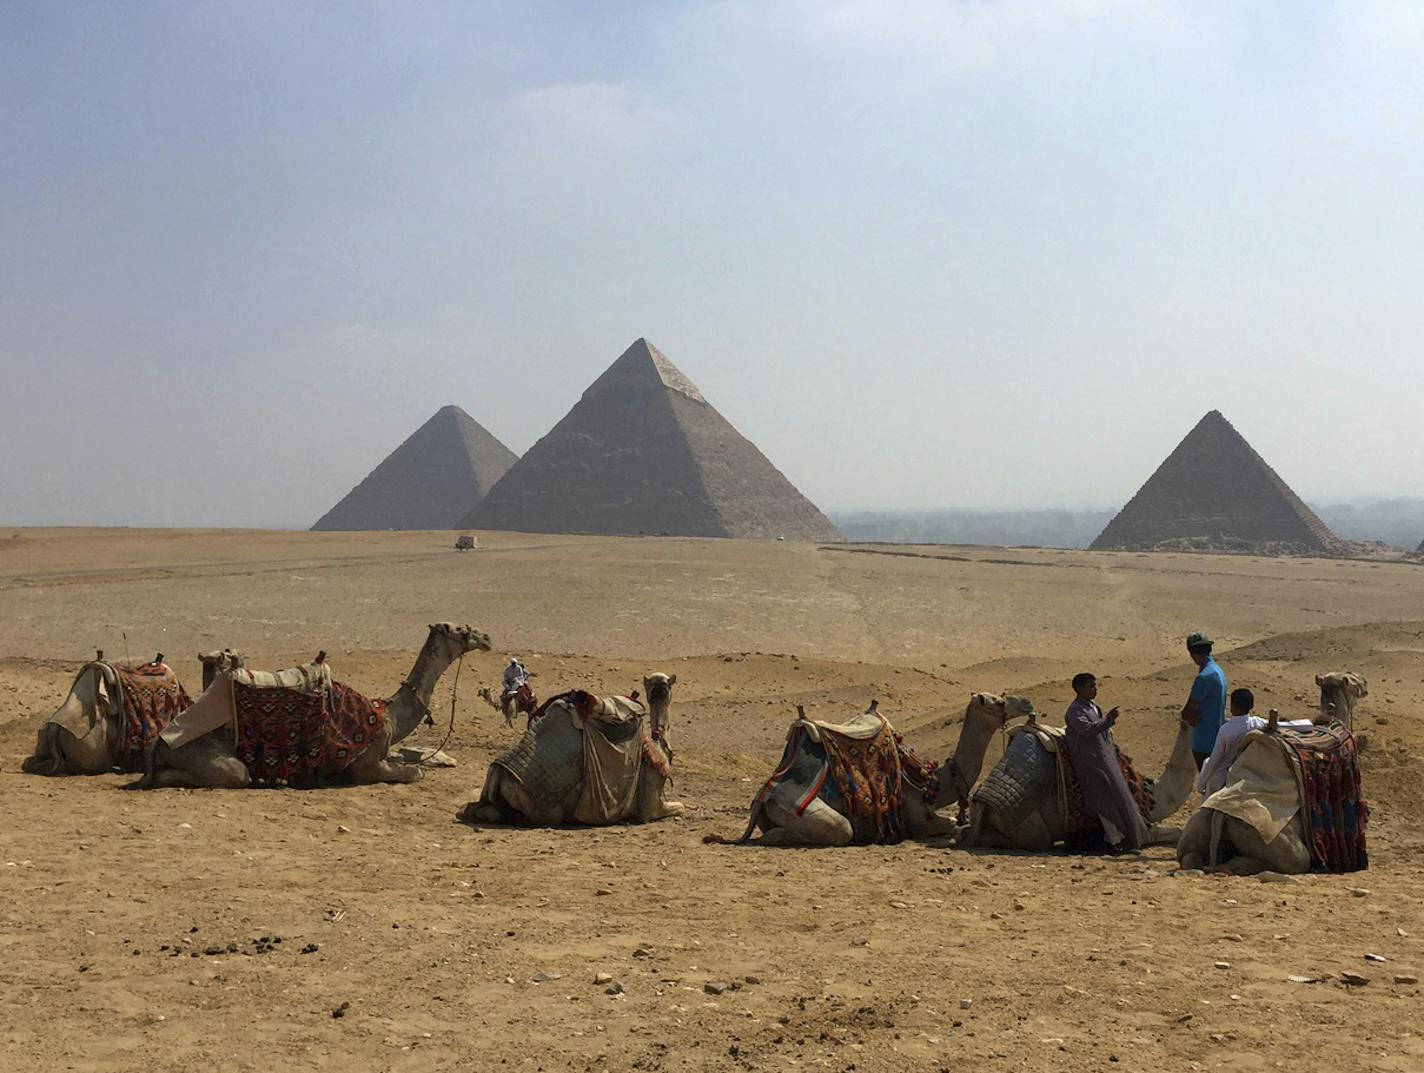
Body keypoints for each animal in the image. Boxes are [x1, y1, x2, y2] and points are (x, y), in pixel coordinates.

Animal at [144, 617, 489, 785]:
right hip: (218, 761)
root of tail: (161, 740)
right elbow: (414, 773)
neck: (388, 714)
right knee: (230, 774)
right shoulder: (367, 764)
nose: (485, 637)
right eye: (460, 629)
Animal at [455, 671, 677, 825]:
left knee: (477, 808)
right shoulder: (651, 806)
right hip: (543, 806)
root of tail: (498, 773)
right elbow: (678, 807)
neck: (657, 745)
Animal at [734, 688, 1025, 848]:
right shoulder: (917, 816)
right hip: (800, 809)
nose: (1025, 704)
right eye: (998, 702)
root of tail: (762, 799)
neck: (932, 781)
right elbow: (952, 824)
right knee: (839, 829)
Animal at [1173, 671, 1372, 870]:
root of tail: (1221, 815)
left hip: (1198, 825)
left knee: (1190, 857)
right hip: (1273, 838)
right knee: (1295, 861)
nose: (1365, 682)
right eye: (1352, 681)